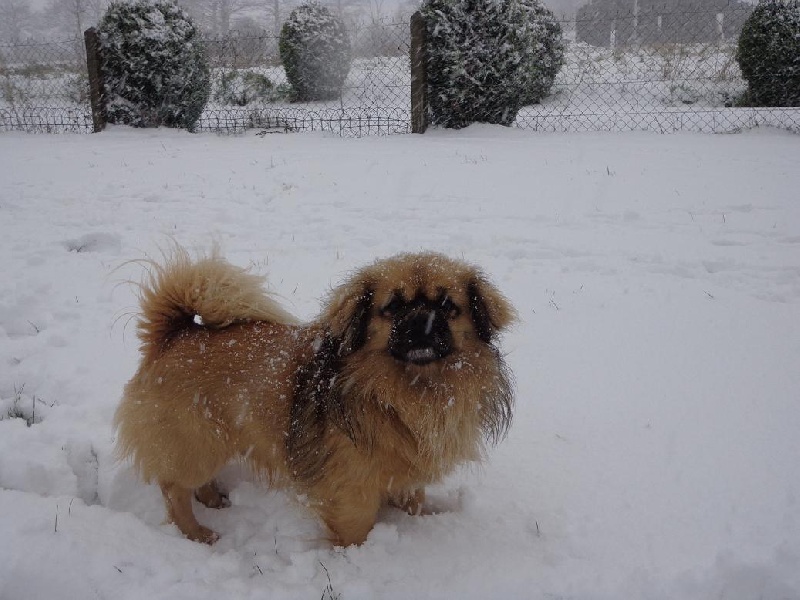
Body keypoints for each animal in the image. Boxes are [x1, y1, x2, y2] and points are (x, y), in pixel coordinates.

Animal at [115, 248, 515, 545]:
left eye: (447, 306)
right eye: (392, 307)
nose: (421, 321)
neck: (409, 389)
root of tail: (173, 335)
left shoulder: (406, 476)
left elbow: (413, 500)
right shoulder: (351, 491)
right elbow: (355, 530)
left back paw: (214, 500)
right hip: (196, 443)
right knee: (174, 489)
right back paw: (197, 533)